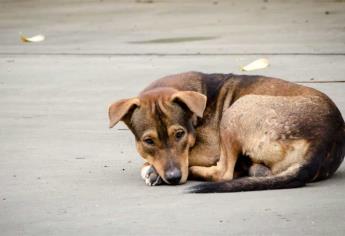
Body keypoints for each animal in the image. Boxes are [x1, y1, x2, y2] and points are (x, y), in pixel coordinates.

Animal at [107, 72, 344, 194]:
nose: (173, 178)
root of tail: (325, 138)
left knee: (224, 172)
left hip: (235, 111)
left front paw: (152, 171)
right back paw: (255, 170)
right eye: (148, 141)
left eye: (180, 134)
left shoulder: (209, 148)